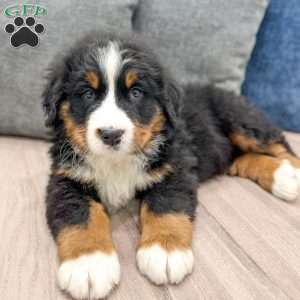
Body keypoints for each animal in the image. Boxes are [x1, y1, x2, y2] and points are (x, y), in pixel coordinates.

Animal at [42, 31, 300, 298]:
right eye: (87, 94)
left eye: (136, 93)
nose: (111, 134)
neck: (118, 161)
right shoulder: (66, 180)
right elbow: (79, 216)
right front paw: (89, 264)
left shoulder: (176, 167)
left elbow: (166, 207)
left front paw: (164, 250)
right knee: (243, 158)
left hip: (241, 120)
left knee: (277, 143)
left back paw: (290, 173)